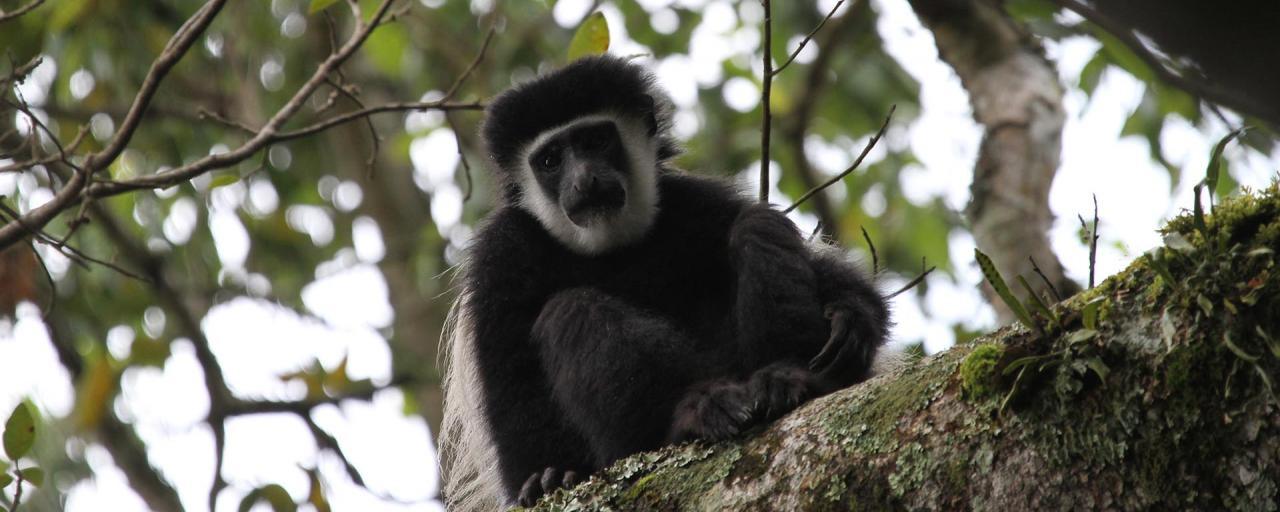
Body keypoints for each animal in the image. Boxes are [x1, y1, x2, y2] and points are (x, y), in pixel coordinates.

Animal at [440, 54, 890, 509]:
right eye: (550, 160)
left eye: (595, 141)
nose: (584, 179)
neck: (610, 249)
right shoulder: (501, 256)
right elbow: (509, 380)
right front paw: (547, 477)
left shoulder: (692, 200)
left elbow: (824, 271)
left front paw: (851, 317)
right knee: (570, 312)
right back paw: (697, 412)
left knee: (758, 225)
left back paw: (787, 381)